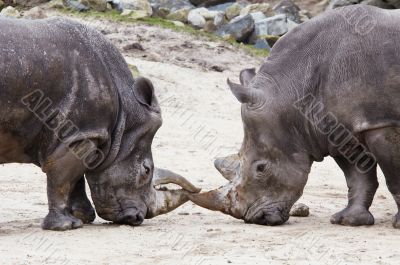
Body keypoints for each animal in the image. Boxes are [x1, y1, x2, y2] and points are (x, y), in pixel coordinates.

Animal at [0, 17, 200, 230]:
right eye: (146, 170)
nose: (137, 218)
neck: (126, 114)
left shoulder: (75, 135)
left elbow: (74, 176)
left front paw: (83, 216)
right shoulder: (81, 132)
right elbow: (61, 178)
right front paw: (66, 225)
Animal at [189, 6, 400, 228]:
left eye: (261, 168)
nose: (256, 219)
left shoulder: (380, 122)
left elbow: (394, 176)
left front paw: (398, 224)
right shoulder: (338, 130)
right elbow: (357, 176)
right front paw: (348, 221)